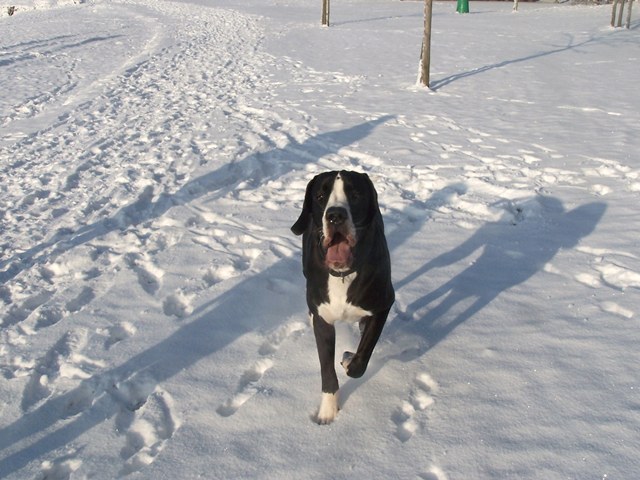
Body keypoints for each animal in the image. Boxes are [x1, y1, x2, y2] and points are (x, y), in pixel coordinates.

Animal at [291, 170, 395, 424]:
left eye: (355, 195)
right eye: (320, 196)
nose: (335, 215)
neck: (343, 274)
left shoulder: (383, 304)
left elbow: (363, 355)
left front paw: (349, 359)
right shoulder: (324, 321)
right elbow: (327, 370)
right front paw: (327, 412)